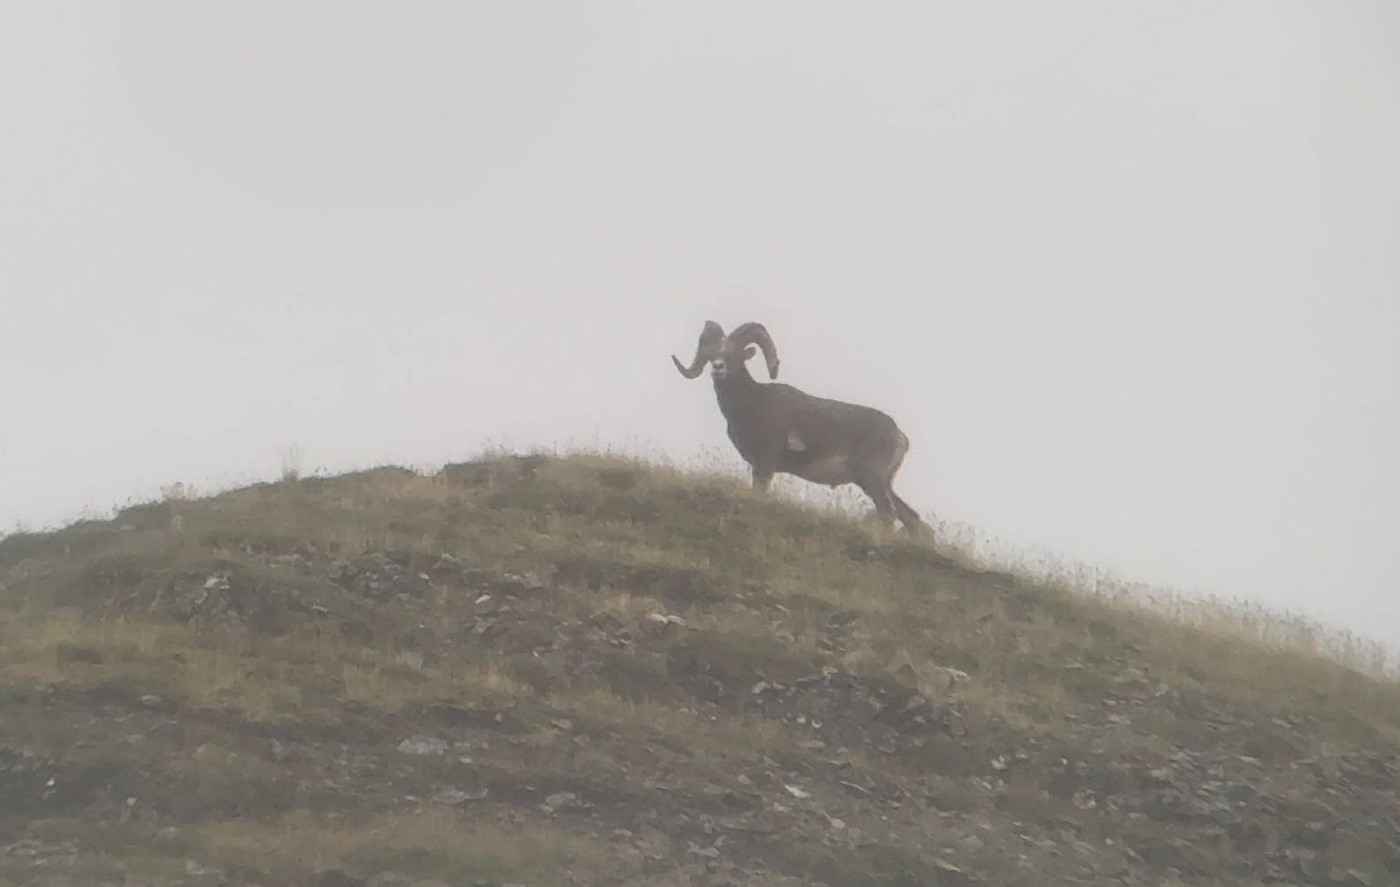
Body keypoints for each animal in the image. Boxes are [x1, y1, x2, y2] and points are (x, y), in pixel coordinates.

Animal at [674, 321, 935, 534]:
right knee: (909, 518)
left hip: (873, 479)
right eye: (712, 354)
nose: (718, 368)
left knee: (888, 514)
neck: (754, 403)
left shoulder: (765, 464)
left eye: (735, 354)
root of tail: (900, 436)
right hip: (879, 483)